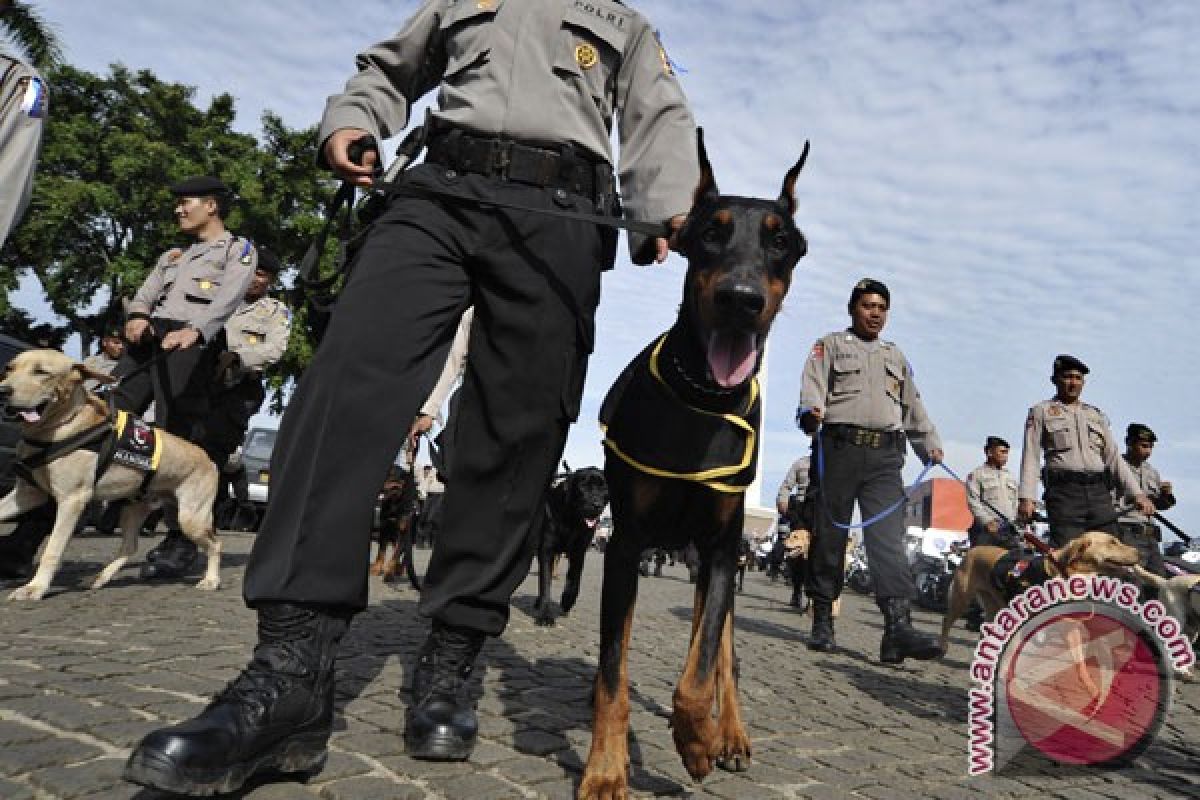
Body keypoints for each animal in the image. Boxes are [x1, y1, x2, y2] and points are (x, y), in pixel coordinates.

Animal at [0, 350, 220, 599]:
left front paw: (35, 587)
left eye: (41, 372)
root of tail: (208, 458)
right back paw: (100, 577)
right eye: (9, 368)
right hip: (134, 508)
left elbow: (52, 549)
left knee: (216, 544)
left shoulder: (72, 500)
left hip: (191, 518)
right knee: (130, 546)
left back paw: (211, 580)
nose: (3, 390)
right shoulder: (28, 494)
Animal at [535, 465, 609, 628]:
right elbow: (545, 583)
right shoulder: (547, 550)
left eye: (604, 488)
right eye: (583, 486)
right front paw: (545, 615)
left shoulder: (579, 552)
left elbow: (574, 582)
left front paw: (567, 601)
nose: (597, 505)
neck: (572, 521)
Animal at [936, 527, 1142, 652]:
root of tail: (972, 550)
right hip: (961, 599)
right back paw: (943, 646)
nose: (1139, 553)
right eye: (1112, 542)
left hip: (994, 606)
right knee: (946, 620)